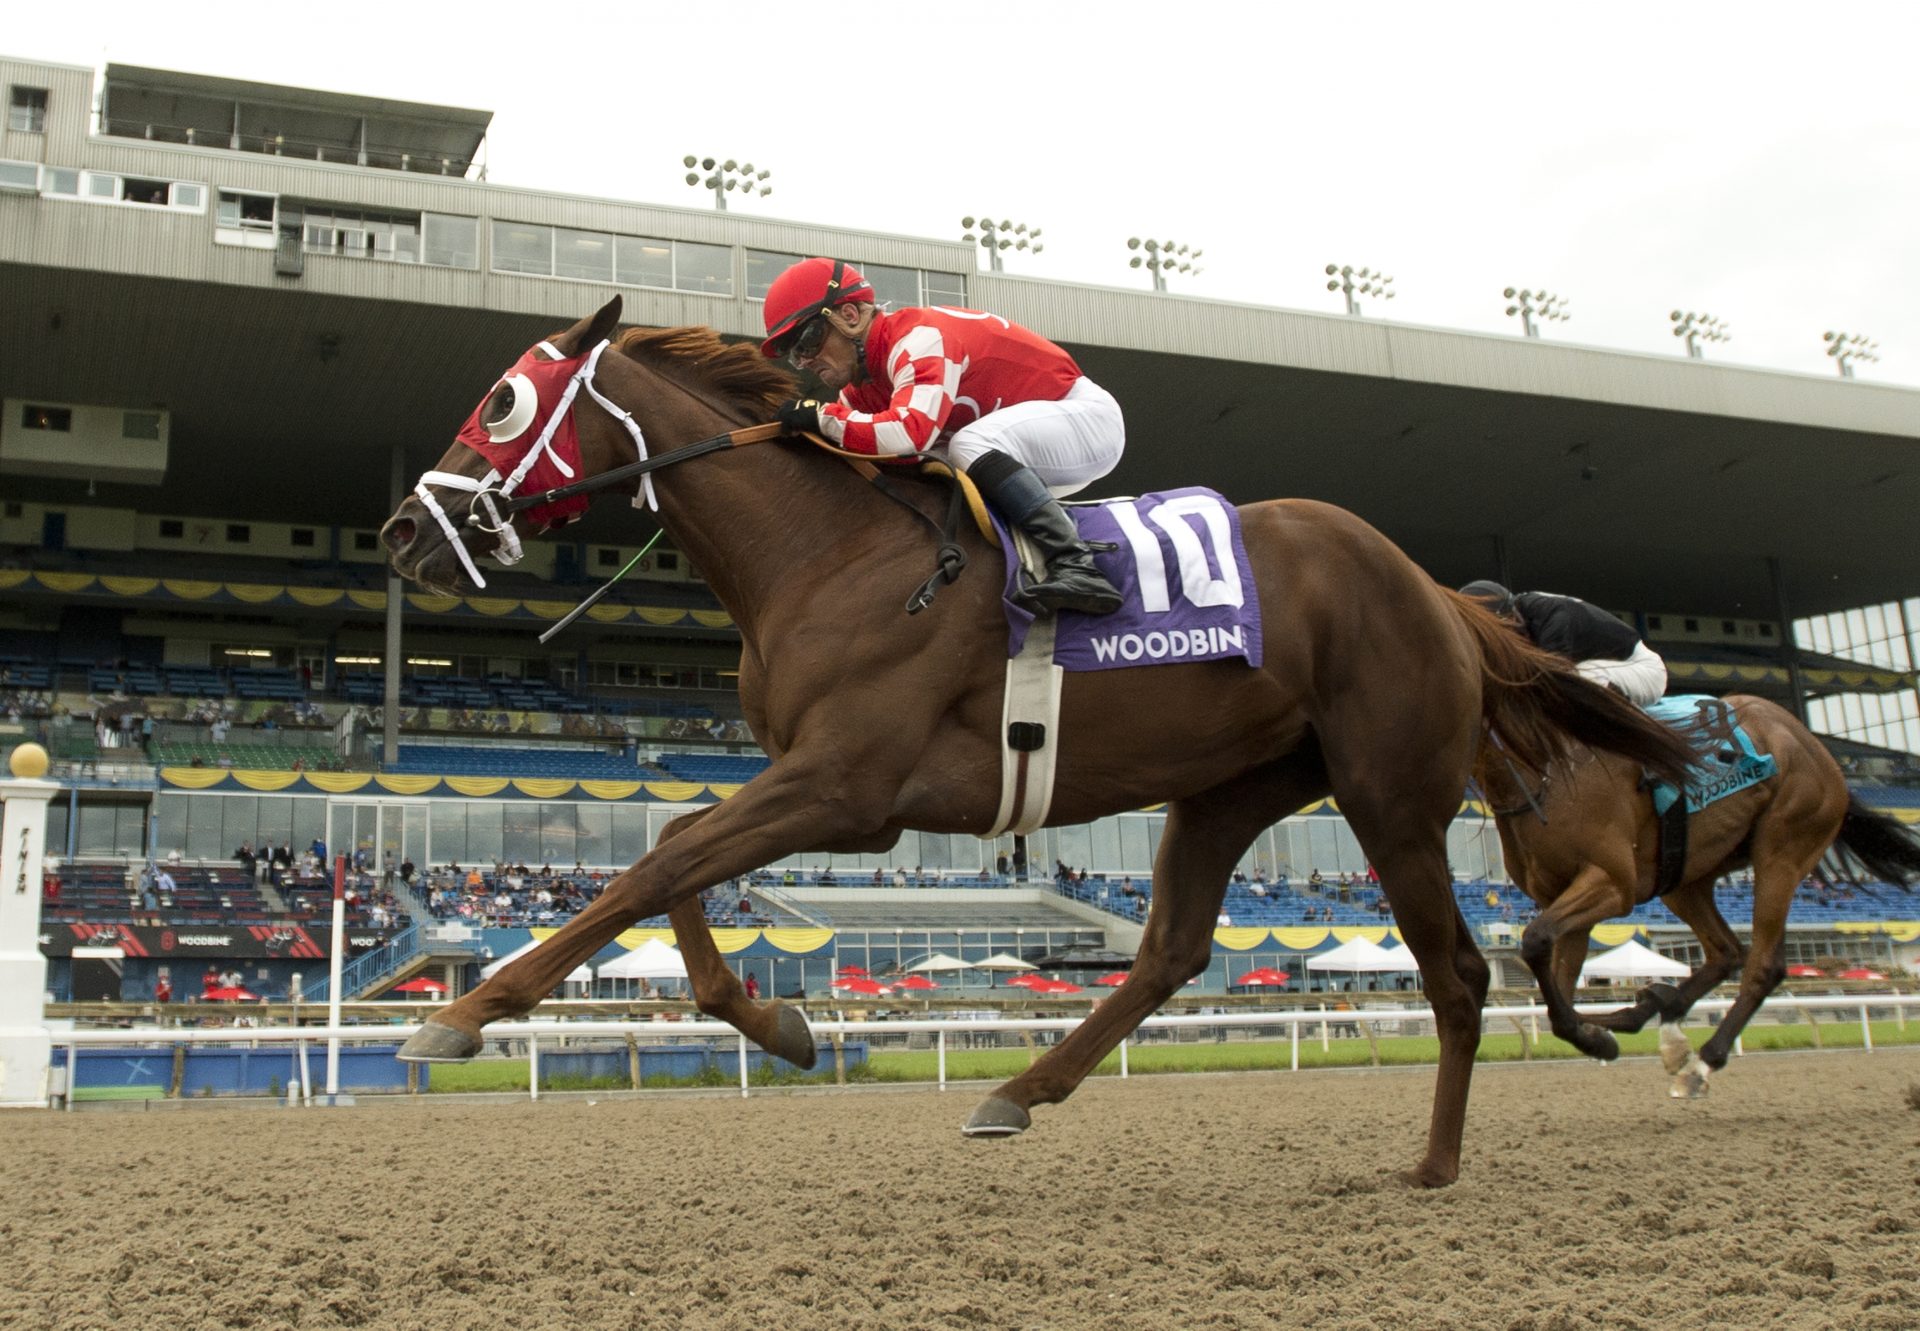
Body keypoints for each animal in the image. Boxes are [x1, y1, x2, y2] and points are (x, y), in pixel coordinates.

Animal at [374, 297, 1697, 1183]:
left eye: (501, 398)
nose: (400, 534)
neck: (829, 551)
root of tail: (1434, 589)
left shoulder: (847, 785)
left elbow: (653, 863)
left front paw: (464, 1013)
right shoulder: (828, 789)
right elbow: (679, 850)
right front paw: (781, 1023)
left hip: (1389, 790)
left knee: (1459, 973)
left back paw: (1435, 1159)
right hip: (1229, 785)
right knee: (1170, 949)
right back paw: (1016, 1087)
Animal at [1474, 691, 1920, 1098]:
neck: (1541, 771)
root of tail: (1816, 748)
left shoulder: (1611, 883)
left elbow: (1536, 942)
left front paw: (1594, 1035)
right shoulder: (1561, 894)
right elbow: (1557, 985)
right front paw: (1596, 1033)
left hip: (1783, 849)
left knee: (1764, 964)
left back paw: (1700, 1061)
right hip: (1688, 876)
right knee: (1727, 952)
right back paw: (1653, 1013)